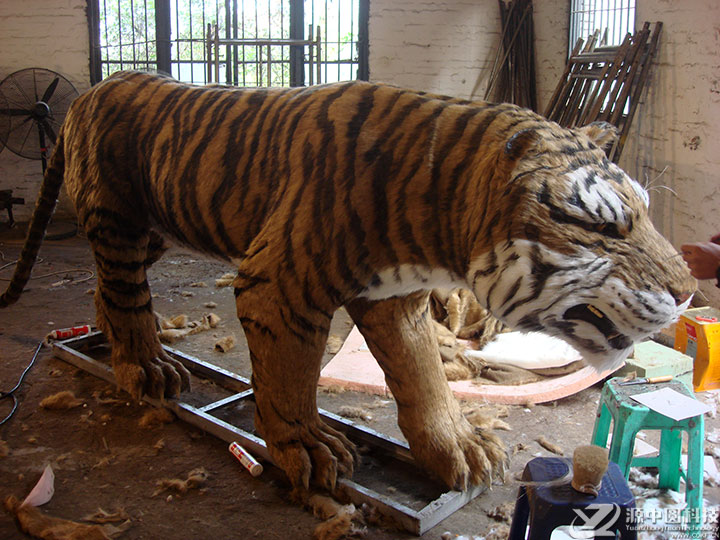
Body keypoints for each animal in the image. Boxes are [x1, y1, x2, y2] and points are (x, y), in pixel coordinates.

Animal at [0, 70, 695, 494]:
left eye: (646, 212)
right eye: (604, 226)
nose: (689, 289)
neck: (439, 203)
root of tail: (92, 89)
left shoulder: (394, 300)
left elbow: (423, 377)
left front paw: (460, 450)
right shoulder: (278, 286)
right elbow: (289, 378)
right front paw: (306, 448)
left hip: (150, 228)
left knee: (110, 294)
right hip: (118, 221)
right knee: (124, 294)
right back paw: (146, 368)